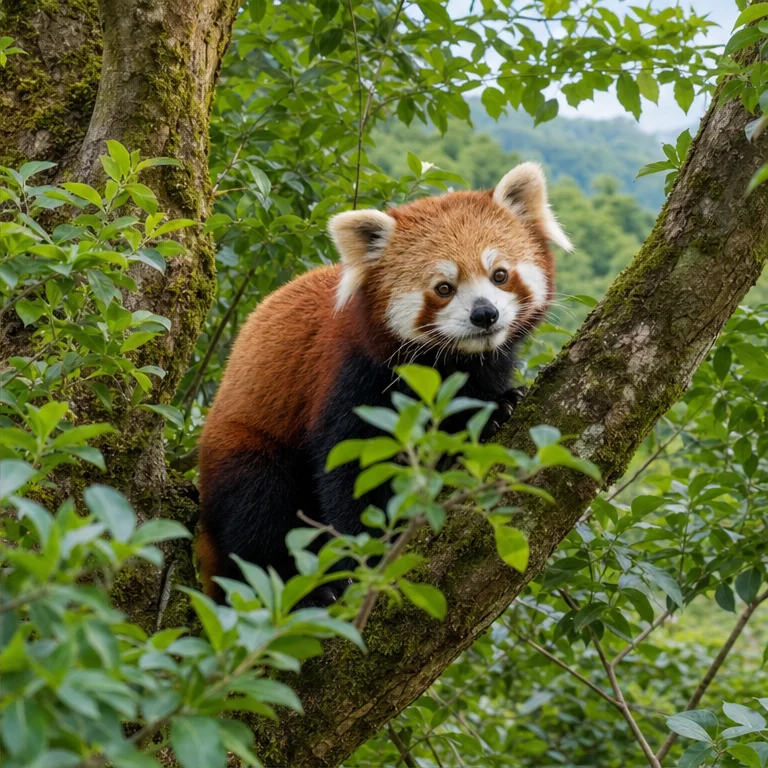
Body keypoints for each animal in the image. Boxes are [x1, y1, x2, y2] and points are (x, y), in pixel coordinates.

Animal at [196, 162, 572, 602]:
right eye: (444, 288)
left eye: (499, 275)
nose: (485, 314)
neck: (446, 363)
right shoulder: (354, 376)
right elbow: (355, 472)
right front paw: (367, 559)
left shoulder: (482, 367)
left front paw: (499, 408)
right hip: (245, 446)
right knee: (257, 515)